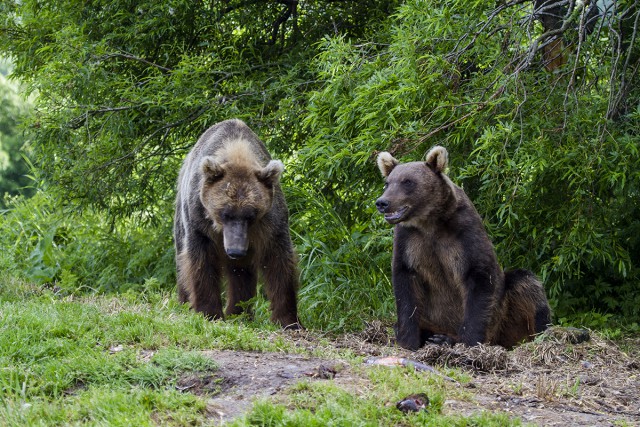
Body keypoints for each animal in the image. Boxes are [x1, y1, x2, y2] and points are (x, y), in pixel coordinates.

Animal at [175, 118, 302, 330]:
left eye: (251, 215)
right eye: (225, 213)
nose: (235, 250)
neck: (236, 150)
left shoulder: (271, 221)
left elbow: (279, 261)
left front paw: (288, 319)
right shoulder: (199, 217)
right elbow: (201, 262)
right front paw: (209, 312)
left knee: (242, 273)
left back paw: (239, 312)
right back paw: (185, 302)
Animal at [376, 145, 552, 350]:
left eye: (408, 182)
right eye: (387, 183)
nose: (382, 202)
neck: (429, 222)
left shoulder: (463, 233)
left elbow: (479, 276)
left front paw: (468, 340)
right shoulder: (409, 241)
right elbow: (405, 286)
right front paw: (408, 341)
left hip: (505, 315)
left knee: (526, 284)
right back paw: (435, 337)